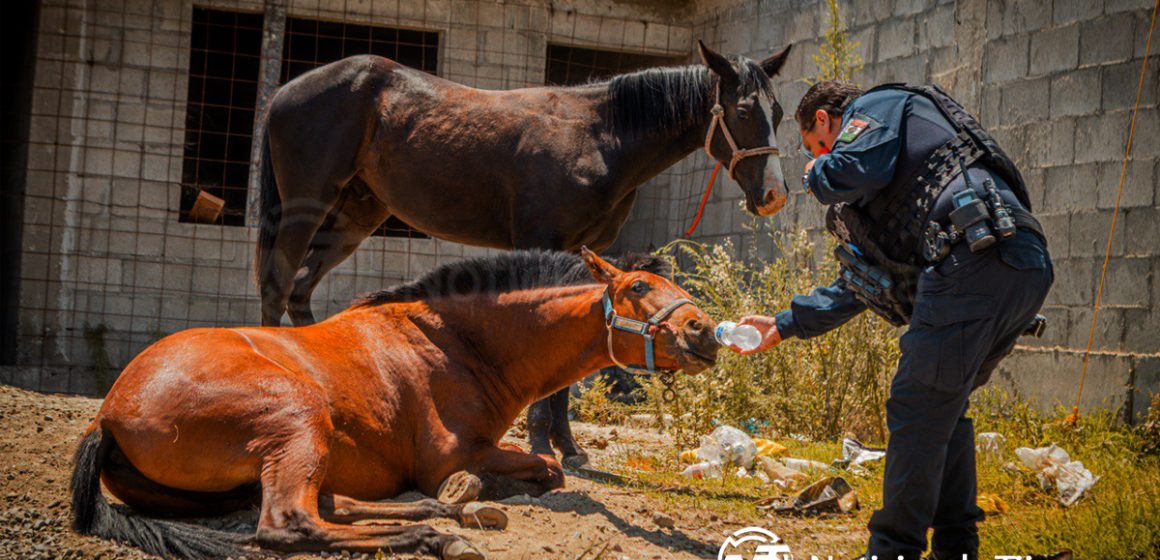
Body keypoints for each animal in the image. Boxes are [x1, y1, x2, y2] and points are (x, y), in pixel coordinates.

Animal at [71, 249, 718, 560]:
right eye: (638, 288)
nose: (705, 331)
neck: (456, 342)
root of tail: (108, 415)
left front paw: (472, 494)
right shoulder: (450, 454)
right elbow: (549, 468)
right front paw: (482, 489)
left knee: (326, 503)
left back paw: (446, 512)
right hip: (297, 417)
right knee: (290, 524)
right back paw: (434, 535)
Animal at [254, 39, 791, 466]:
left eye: (780, 113)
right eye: (744, 111)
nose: (774, 195)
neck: (599, 137)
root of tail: (284, 91)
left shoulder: (584, 252)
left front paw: (568, 446)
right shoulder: (545, 240)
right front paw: (540, 442)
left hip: (355, 216)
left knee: (300, 292)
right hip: (307, 206)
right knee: (278, 288)